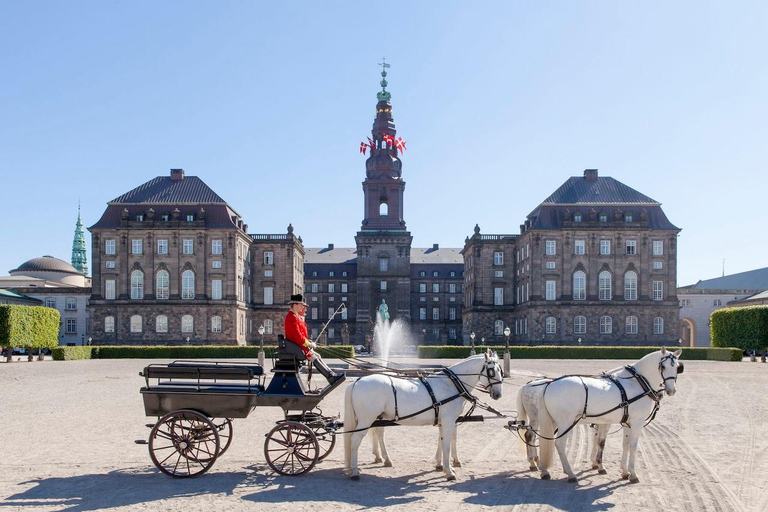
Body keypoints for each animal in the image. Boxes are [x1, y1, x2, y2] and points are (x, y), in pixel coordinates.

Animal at [344, 350, 504, 478]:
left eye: (500, 371)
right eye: (491, 371)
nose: (498, 394)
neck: (450, 384)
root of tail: (357, 381)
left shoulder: (443, 421)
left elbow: (442, 440)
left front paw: (441, 464)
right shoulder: (449, 420)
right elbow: (447, 443)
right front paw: (449, 471)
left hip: (378, 417)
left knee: (377, 433)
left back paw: (383, 459)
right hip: (366, 420)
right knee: (355, 440)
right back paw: (355, 471)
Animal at [516, 348, 684, 484]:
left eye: (677, 367)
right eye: (663, 366)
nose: (670, 391)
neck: (637, 382)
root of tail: (548, 385)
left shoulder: (626, 423)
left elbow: (624, 445)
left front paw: (623, 471)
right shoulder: (637, 422)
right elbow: (631, 446)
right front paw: (632, 473)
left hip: (551, 421)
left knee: (538, 438)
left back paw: (543, 468)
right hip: (564, 422)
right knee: (557, 443)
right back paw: (569, 473)